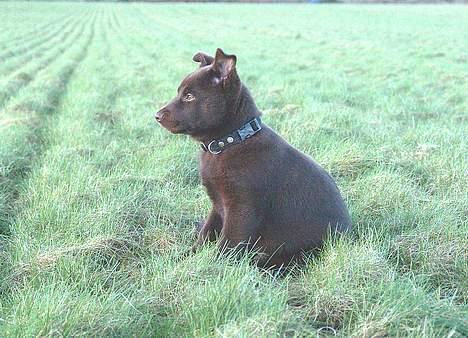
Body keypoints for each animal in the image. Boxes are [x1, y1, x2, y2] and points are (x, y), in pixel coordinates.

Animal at [157, 48, 352, 270]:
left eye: (189, 96)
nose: (157, 116)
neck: (231, 141)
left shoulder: (241, 209)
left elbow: (226, 245)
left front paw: (213, 269)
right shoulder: (218, 206)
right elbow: (206, 234)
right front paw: (183, 259)